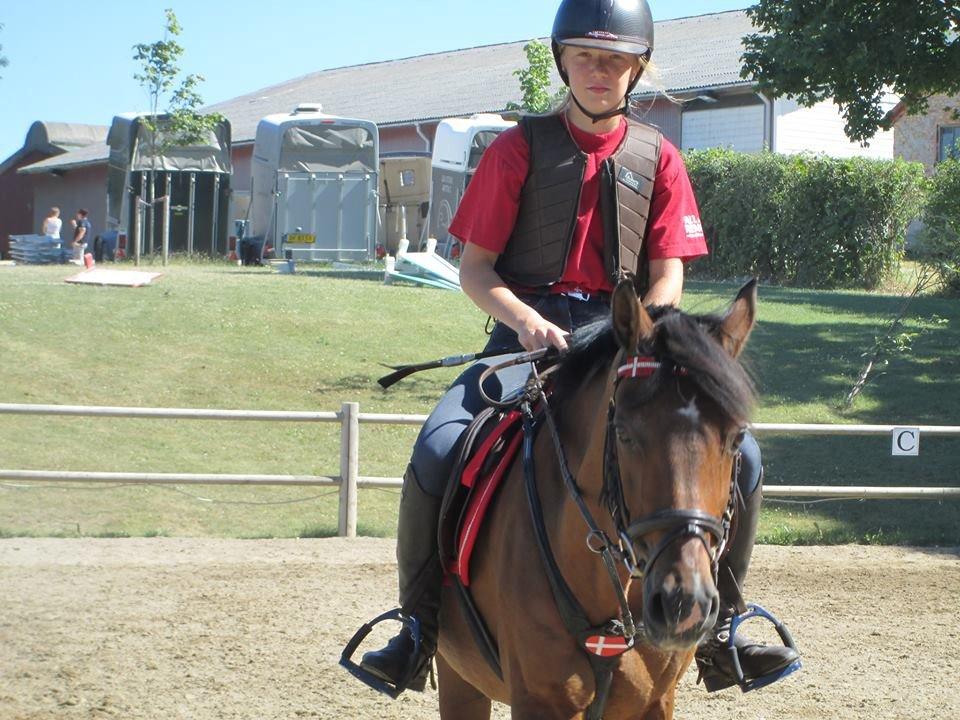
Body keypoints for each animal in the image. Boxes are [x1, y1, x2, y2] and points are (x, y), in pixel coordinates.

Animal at [433, 279, 759, 719]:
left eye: (738, 437)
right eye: (623, 432)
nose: (683, 603)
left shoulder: (656, 702)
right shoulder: (539, 702)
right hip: (458, 678)